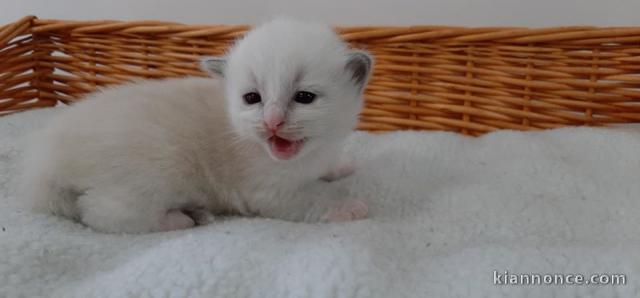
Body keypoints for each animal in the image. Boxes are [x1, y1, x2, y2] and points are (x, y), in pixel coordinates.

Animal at [21, 18, 376, 233]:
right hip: (152, 173)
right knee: (102, 213)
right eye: (252, 98)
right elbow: (311, 199)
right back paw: (181, 219)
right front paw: (347, 206)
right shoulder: (267, 191)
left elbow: (327, 168)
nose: (272, 121)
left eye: (304, 97)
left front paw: (340, 167)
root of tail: (44, 164)